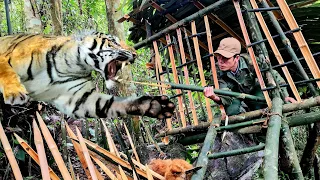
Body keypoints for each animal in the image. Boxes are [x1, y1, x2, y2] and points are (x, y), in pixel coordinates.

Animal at [0, 32, 175, 119]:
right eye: (114, 42)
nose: (135, 54)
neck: (72, 64)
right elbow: (6, 70)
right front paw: (15, 92)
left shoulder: (78, 97)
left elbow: (110, 103)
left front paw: (154, 105)